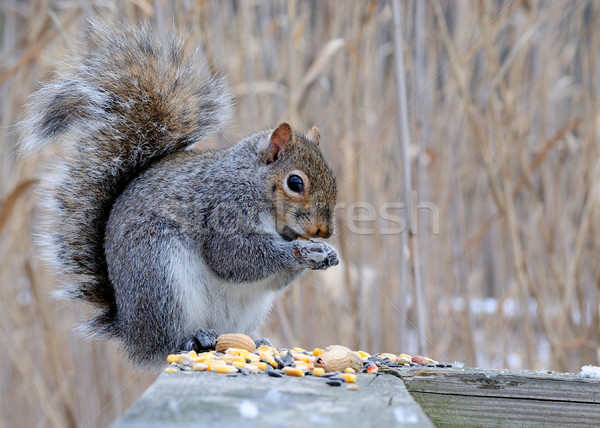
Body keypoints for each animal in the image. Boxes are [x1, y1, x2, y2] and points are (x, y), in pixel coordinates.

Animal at [19, 21, 338, 366]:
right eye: (295, 183)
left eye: (333, 178)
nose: (324, 231)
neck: (253, 184)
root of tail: (132, 334)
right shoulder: (224, 207)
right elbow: (233, 257)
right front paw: (300, 250)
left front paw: (327, 253)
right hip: (159, 277)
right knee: (166, 343)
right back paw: (192, 339)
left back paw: (253, 341)